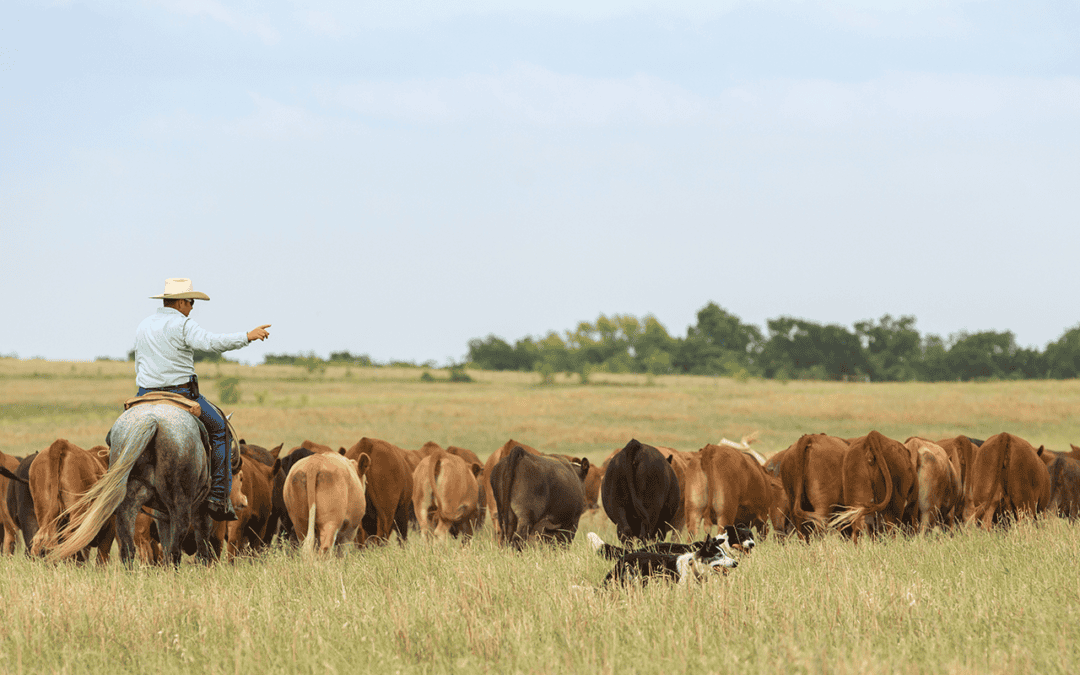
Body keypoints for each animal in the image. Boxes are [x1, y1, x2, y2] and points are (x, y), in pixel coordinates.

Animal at [46, 404, 215, 565]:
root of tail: (152, 419)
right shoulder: (198, 509)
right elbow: (201, 542)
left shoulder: (163, 515)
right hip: (179, 506)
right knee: (174, 551)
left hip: (128, 505)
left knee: (128, 549)